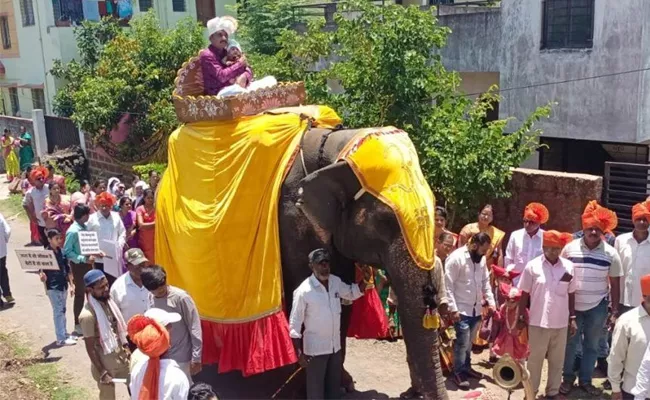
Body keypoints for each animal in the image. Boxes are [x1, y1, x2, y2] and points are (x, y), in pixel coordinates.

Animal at [274, 126, 446, 400]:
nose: (408, 393)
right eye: (386, 221)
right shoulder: (292, 222)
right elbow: (297, 295)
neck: (335, 149)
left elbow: (342, 299)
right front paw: (303, 387)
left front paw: (343, 385)